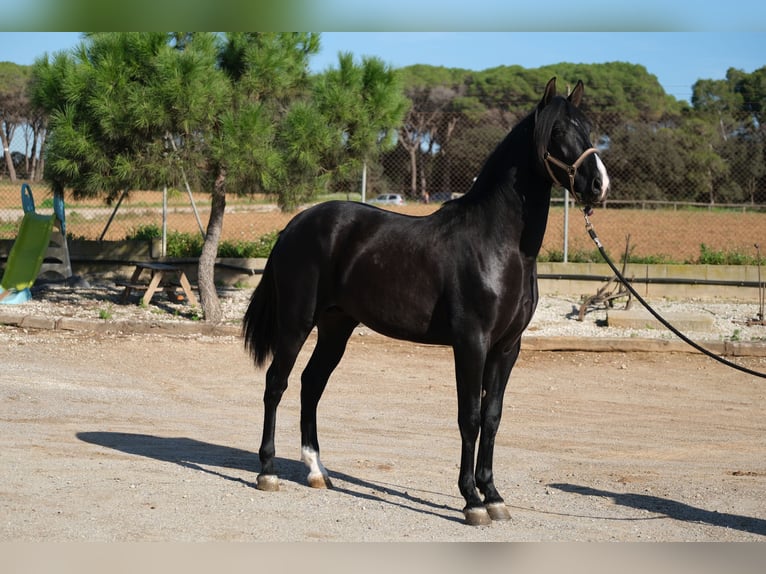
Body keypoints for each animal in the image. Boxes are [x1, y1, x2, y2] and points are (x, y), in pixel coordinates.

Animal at [244, 76, 612, 528]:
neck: (498, 244)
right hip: (296, 322)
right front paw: (471, 500)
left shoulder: (507, 347)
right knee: (275, 384)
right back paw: (268, 471)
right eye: (558, 131)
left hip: (336, 326)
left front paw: (493, 495)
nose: (598, 185)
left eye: (588, 127)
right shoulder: (471, 342)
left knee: (311, 384)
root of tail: (294, 225)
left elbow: (493, 417)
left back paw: (316, 471)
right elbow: (469, 417)